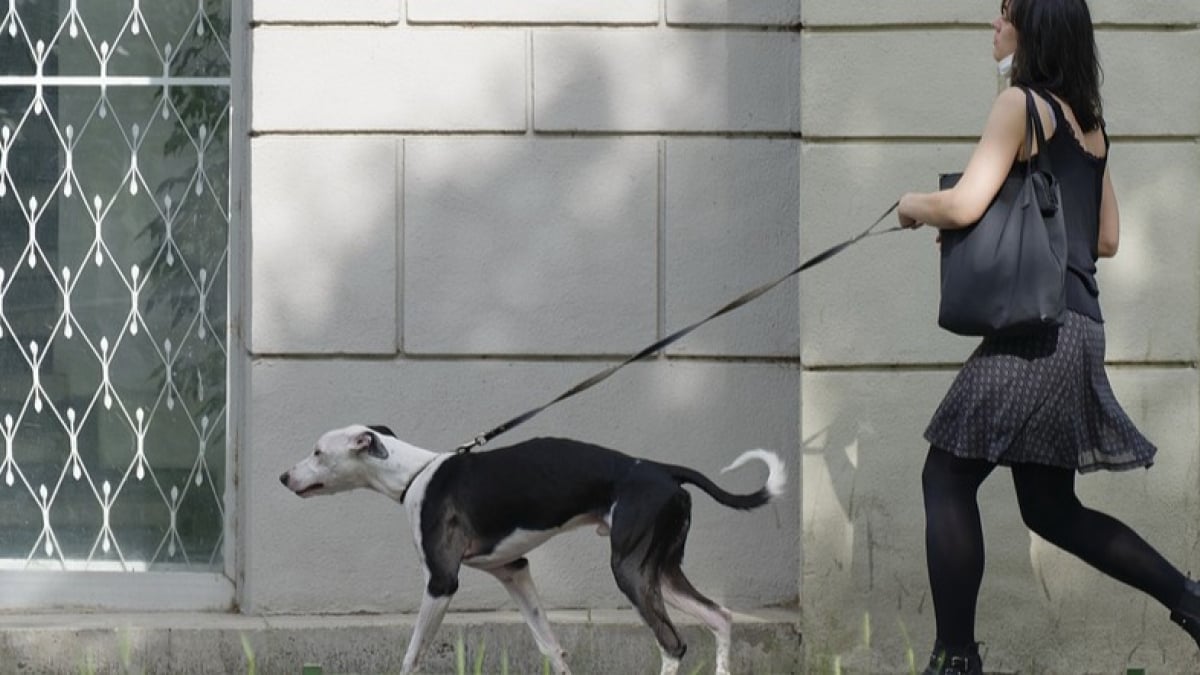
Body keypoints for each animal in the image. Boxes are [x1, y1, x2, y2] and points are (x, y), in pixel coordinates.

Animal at [279, 422, 787, 667]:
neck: (414, 474)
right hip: (662, 570)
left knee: (673, 645)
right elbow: (551, 647)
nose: (283, 476)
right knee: (719, 617)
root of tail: (663, 470)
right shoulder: (514, 571)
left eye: (318, 452)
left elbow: (413, 652)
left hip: (632, 571)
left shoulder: (441, 583)